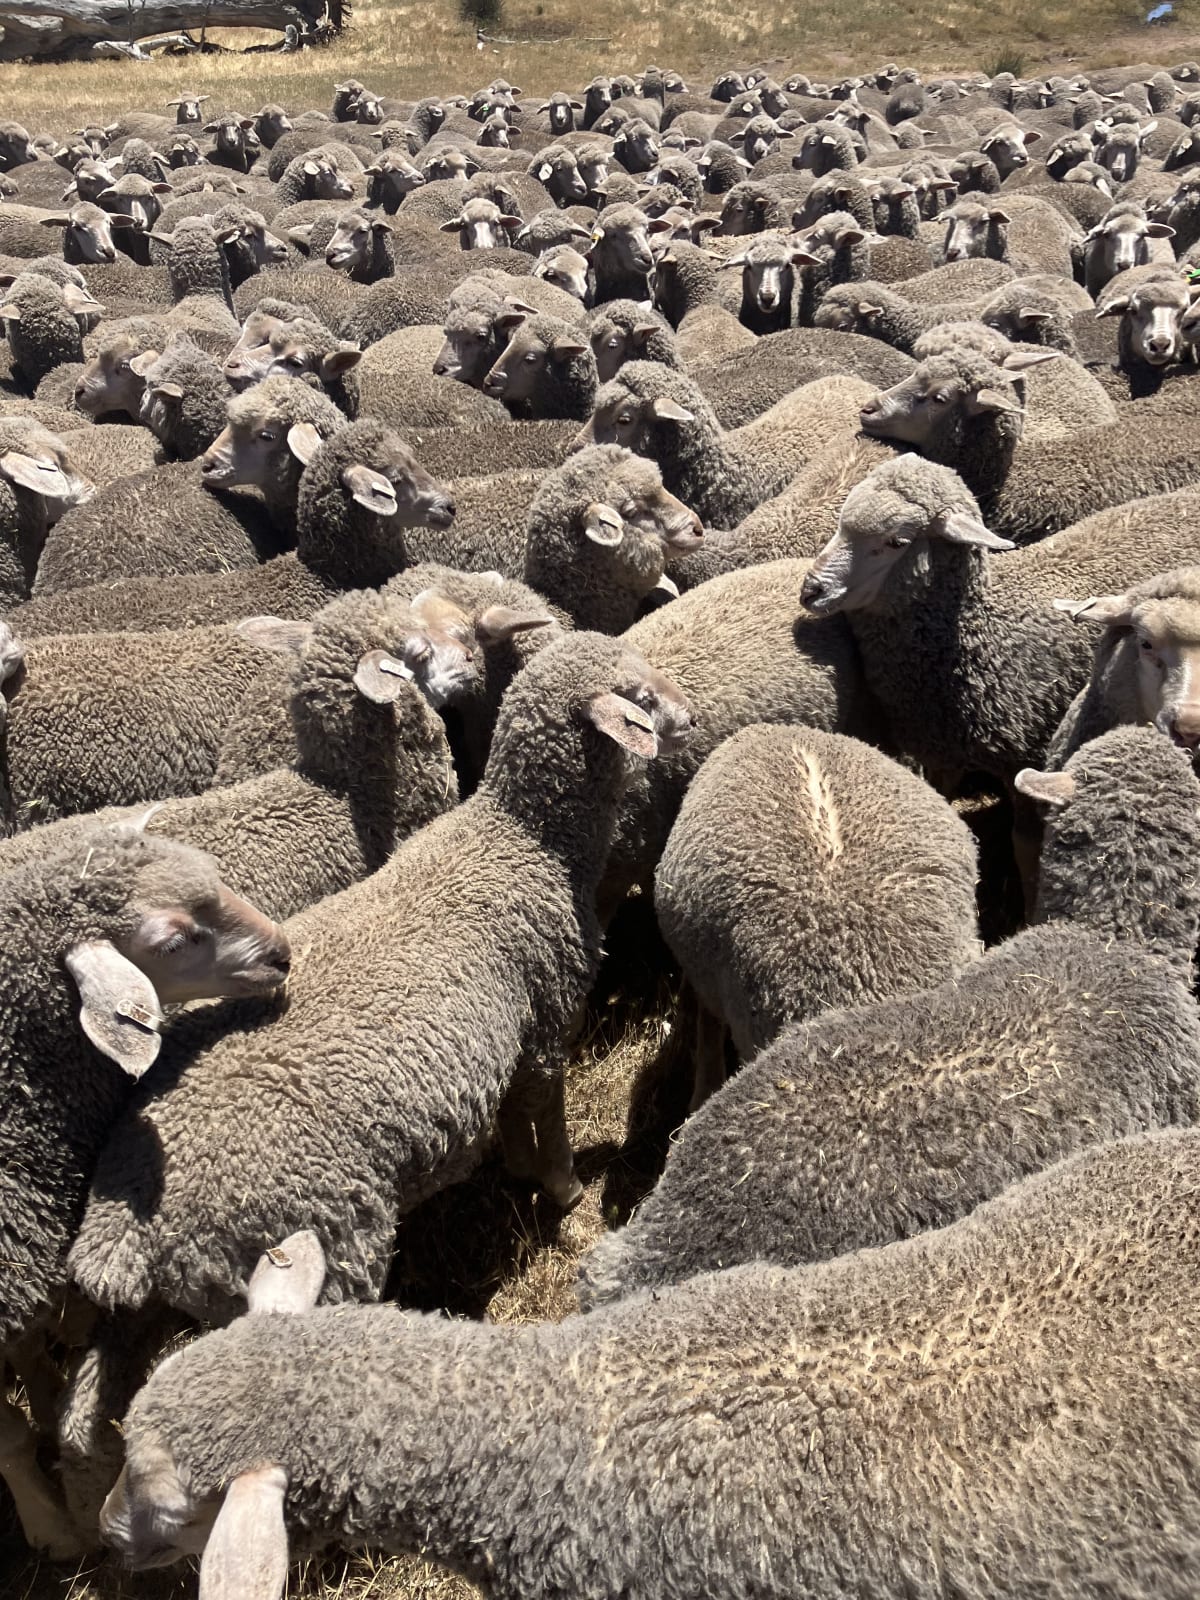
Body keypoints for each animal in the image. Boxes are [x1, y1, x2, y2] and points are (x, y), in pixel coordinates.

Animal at [69, 632, 692, 1332]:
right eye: (640, 699)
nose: (693, 717)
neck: (526, 838)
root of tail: (123, 1234)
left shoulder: (519, 1037)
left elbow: (512, 1119)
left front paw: (518, 1169)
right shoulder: (548, 1022)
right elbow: (548, 1120)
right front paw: (565, 1189)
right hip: (332, 1240)